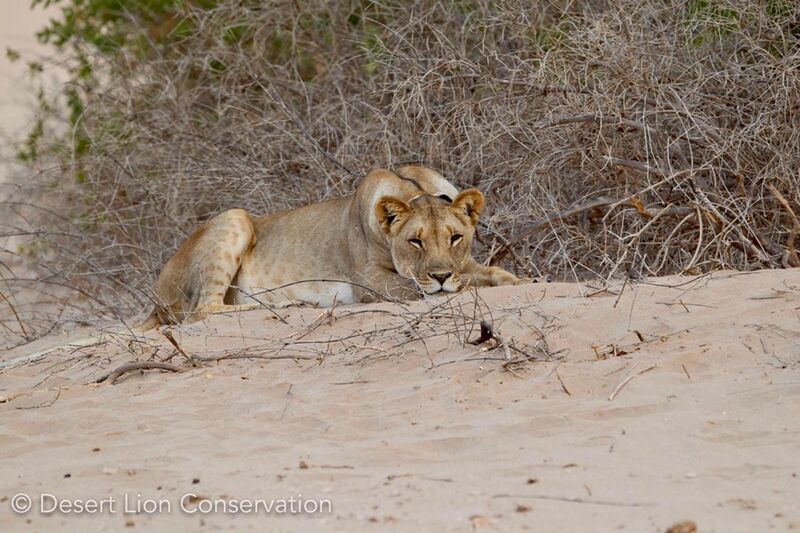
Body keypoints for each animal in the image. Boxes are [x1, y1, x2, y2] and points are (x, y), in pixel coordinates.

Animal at [141, 164, 520, 326]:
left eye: (455, 237)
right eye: (415, 241)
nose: (441, 276)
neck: (414, 189)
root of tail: (155, 297)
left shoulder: (463, 262)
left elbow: (491, 272)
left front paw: (516, 280)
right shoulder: (370, 283)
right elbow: (427, 287)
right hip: (235, 218)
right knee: (203, 310)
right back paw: (286, 305)